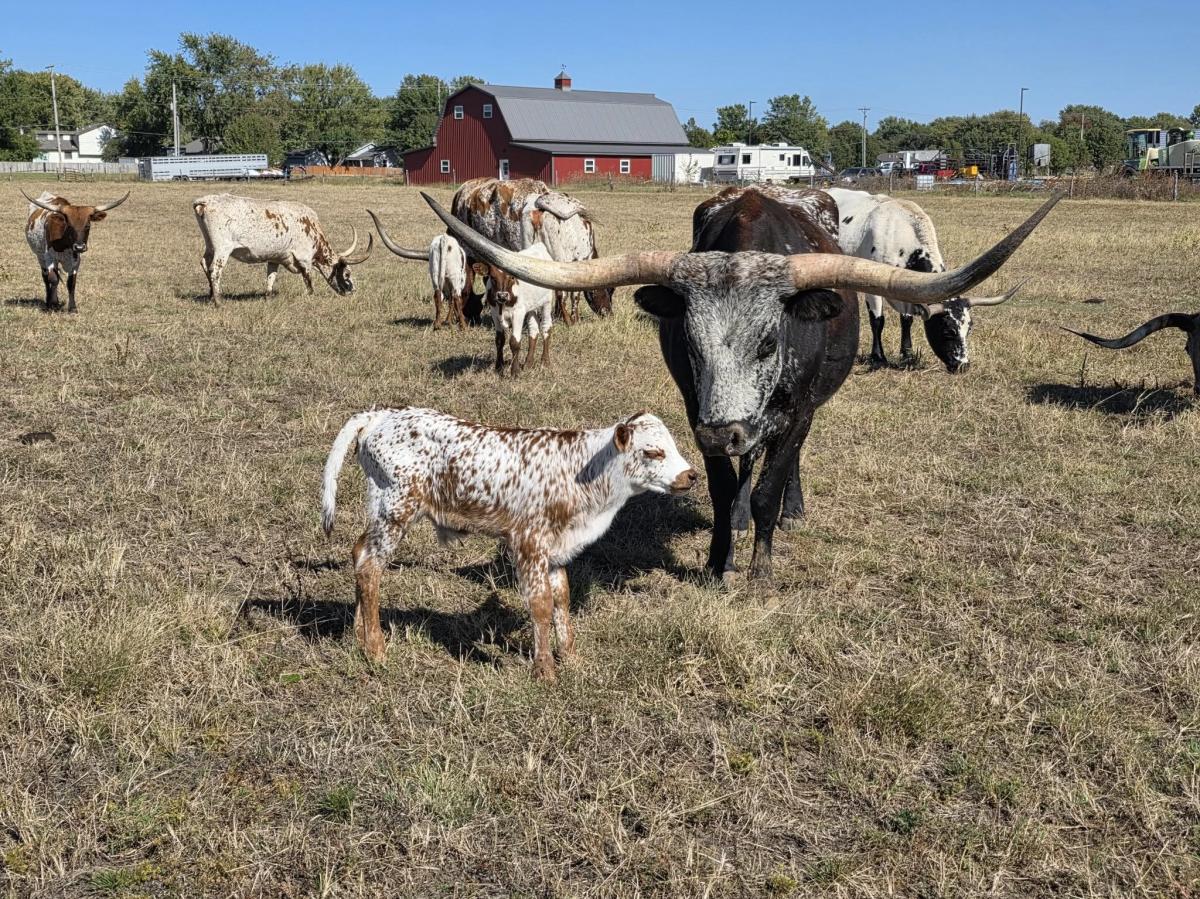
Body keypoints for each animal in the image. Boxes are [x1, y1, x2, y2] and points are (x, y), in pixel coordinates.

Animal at [192, 194, 372, 305]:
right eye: (347, 274)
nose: (352, 291)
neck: (313, 229)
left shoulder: (274, 258)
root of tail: (205, 201)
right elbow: (309, 280)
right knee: (215, 270)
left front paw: (268, 297)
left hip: (210, 245)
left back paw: (211, 296)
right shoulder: (304, 259)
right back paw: (218, 301)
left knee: (204, 264)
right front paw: (311, 296)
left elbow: (271, 278)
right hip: (223, 248)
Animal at [321, 406, 697, 679]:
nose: (691, 475)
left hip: (381, 509)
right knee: (370, 568)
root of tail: (380, 415)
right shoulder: (528, 542)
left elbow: (561, 599)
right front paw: (545, 672)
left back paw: (358, 635)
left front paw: (572, 659)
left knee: (360, 554)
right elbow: (541, 604)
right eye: (653, 452)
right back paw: (376, 650)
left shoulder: (555, 551)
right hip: (396, 508)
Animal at [824, 187, 1021, 372]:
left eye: (969, 328)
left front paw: (907, 354)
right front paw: (878, 357)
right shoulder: (873, 288)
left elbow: (906, 320)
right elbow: (877, 321)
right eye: (947, 330)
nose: (963, 366)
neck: (898, 233)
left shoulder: (906, 288)